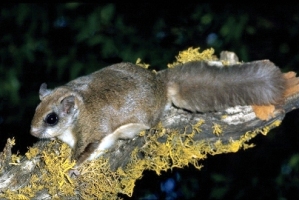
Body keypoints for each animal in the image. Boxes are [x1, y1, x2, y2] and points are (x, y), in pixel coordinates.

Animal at [29, 60, 299, 166]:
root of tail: (161, 84)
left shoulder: (93, 132)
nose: (32, 131)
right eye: (36, 110)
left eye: (51, 118)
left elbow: (85, 152)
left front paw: (70, 167)